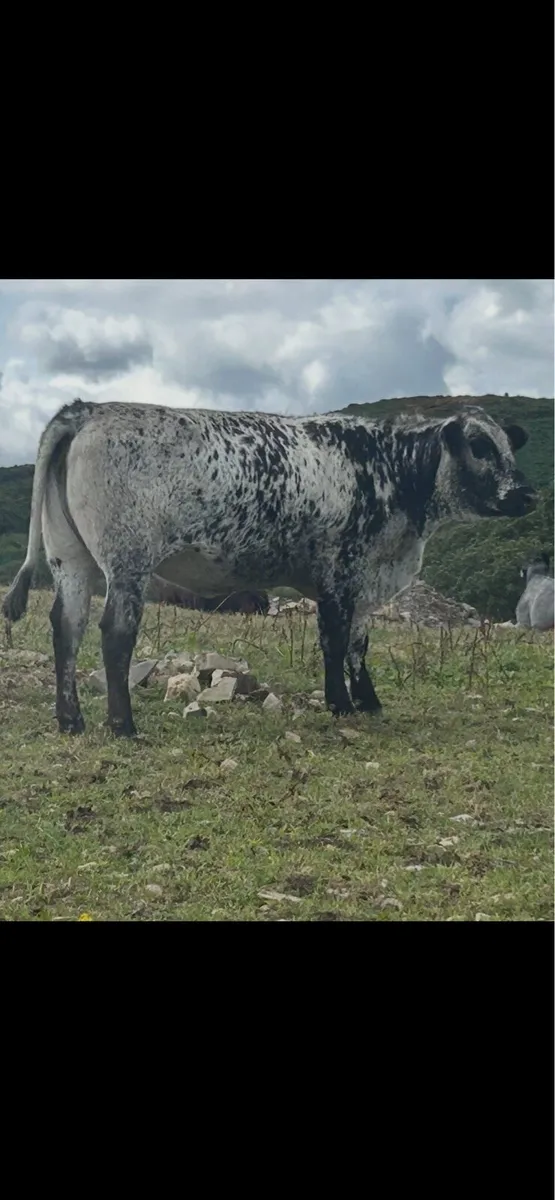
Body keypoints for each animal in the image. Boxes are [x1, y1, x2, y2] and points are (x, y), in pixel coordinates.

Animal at [2, 398, 535, 737]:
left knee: (66, 627)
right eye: (480, 446)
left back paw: (71, 721)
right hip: (127, 561)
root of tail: (89, 409)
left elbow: (359, 645)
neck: (389, 471)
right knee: (114, 632)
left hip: (70, 558)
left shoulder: (366, 580)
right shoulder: (341, 574)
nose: (527, 495)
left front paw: (368, 701)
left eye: (510, 447)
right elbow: (335, 642)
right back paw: (122, 725)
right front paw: (341, 704)